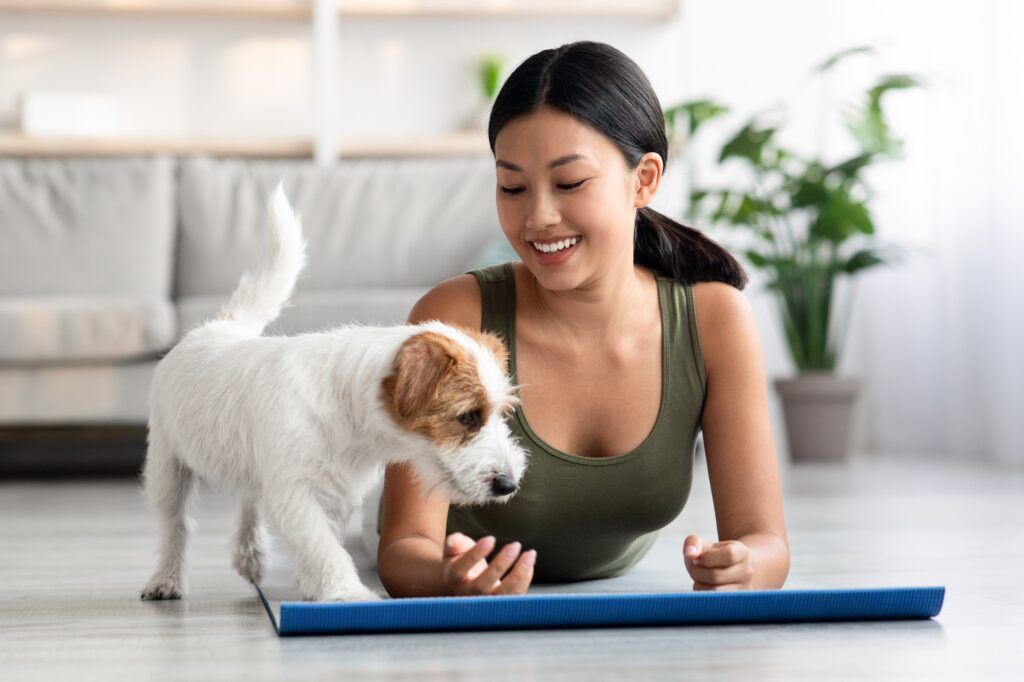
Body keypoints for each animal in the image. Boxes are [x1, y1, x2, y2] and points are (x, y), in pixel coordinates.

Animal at [139, 184, 528, 602]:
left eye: (502, 414)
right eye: (468, 416)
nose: (509, 485)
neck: (348, 414)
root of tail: (220, 327)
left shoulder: (336, 494)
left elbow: (325, 541)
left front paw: (315, 586)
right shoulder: (295, 491)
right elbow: (321, 546)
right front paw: (347, 591)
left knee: (250, 498)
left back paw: (251, 553)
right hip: (167, 462)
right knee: (175, 524)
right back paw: (166, 578)